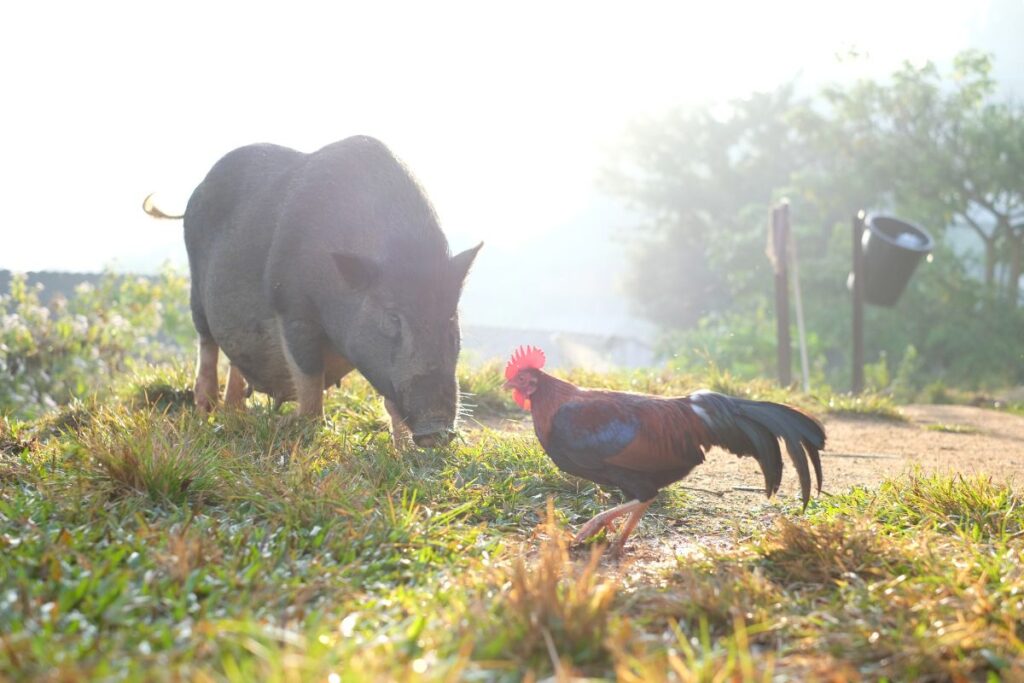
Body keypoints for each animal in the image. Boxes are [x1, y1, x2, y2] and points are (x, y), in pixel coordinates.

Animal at [144, 136, 481, 447]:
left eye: (451, 321)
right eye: (393, 317)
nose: (437, 429)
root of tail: (196, 192)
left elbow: (389, 400)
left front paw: (404, 451)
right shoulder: (291, 305)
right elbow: (308, 377)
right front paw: (300, 426)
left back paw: (235, 413)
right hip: (196, 291)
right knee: (207, 343)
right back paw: (206, 409)